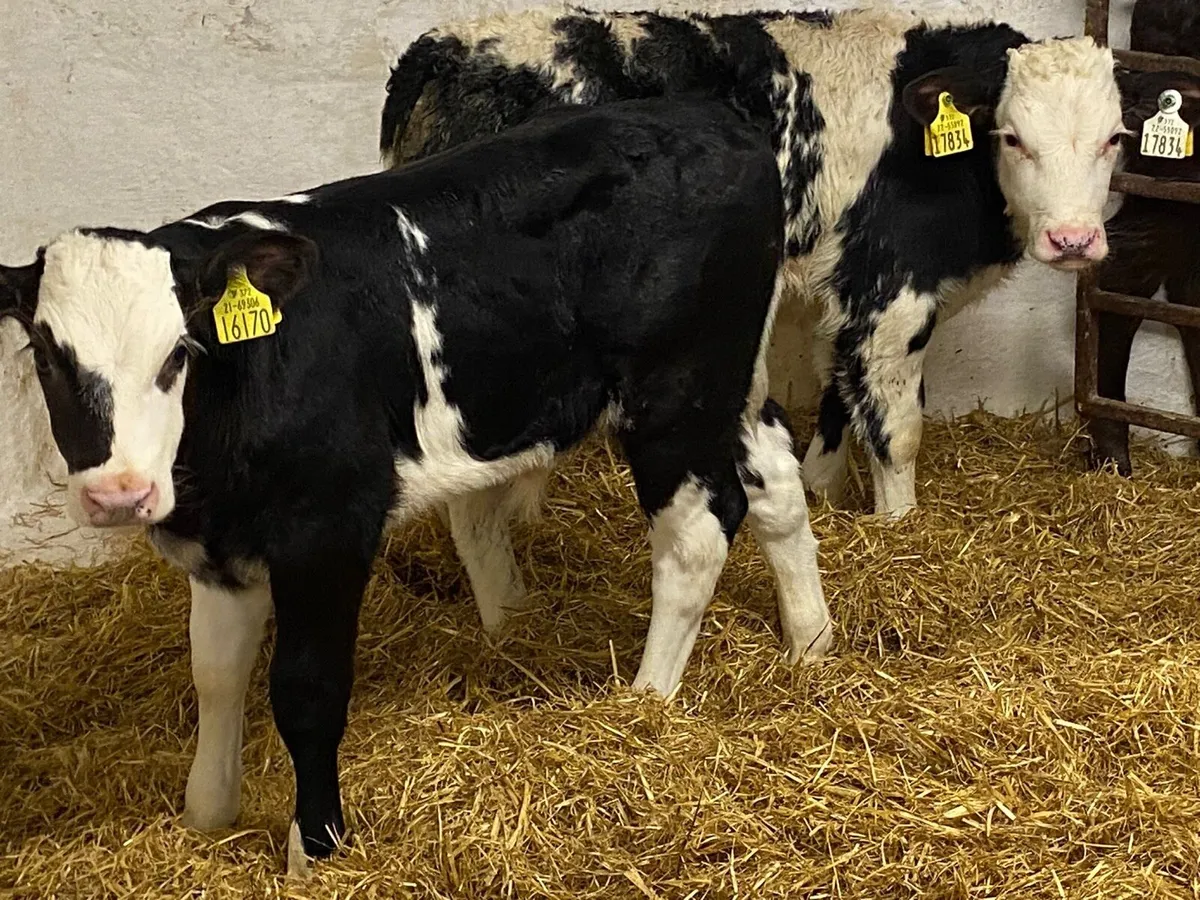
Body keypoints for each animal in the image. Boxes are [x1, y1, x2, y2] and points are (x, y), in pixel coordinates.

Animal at [0, 97, 832, 874]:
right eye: (45, 353)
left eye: (178, 352)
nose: (119, 492)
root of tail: (712, 119)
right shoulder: (219, 545)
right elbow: (215, 673)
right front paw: (207, 815)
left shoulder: (328, 528)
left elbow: (305, 692)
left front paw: (315, 848)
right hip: (735, 383)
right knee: (776, 484)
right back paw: (812, 644)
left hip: (676, 394)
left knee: (697, 536)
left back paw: (645, 706)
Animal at [379, 5, 1197, 517]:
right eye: (1012, 136)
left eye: (1116, 138)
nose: (1074, 241)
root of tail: (444, 45)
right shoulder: (891, 294)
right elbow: (896, 424)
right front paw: (899, 527)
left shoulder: (846, 292)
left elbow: (840, 401)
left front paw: (821, 489)